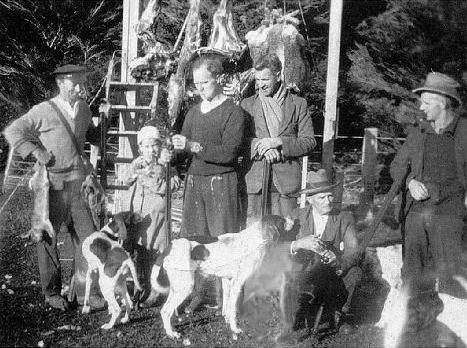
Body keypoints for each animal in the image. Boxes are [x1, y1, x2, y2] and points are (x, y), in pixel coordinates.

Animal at [152, 215, 294, 340]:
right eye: (282, 221)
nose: (295, 220)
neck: (252, 241)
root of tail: (170, 246)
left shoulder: (227, 281)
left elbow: (227, 306)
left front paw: (227, 320)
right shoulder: (237, 283)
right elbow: (233, 309)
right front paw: (235, 329)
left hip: (178, 286)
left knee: (166, 310)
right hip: (185, 286)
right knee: (165, 311)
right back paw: (171, 334)